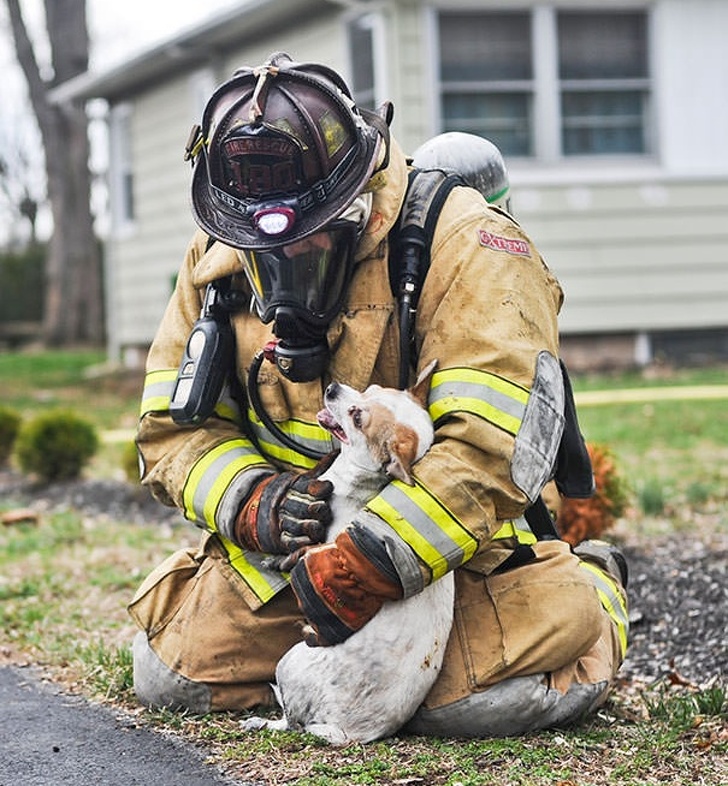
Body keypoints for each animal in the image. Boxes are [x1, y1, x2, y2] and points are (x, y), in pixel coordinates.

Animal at [246, 360, 456, 740]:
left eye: (358, 417)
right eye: (371, 389)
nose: (331, 388)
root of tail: (349, 732)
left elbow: (293, 558)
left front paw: (275, 561)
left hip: (289, 662)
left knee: (291, 721)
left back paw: (265, 720)